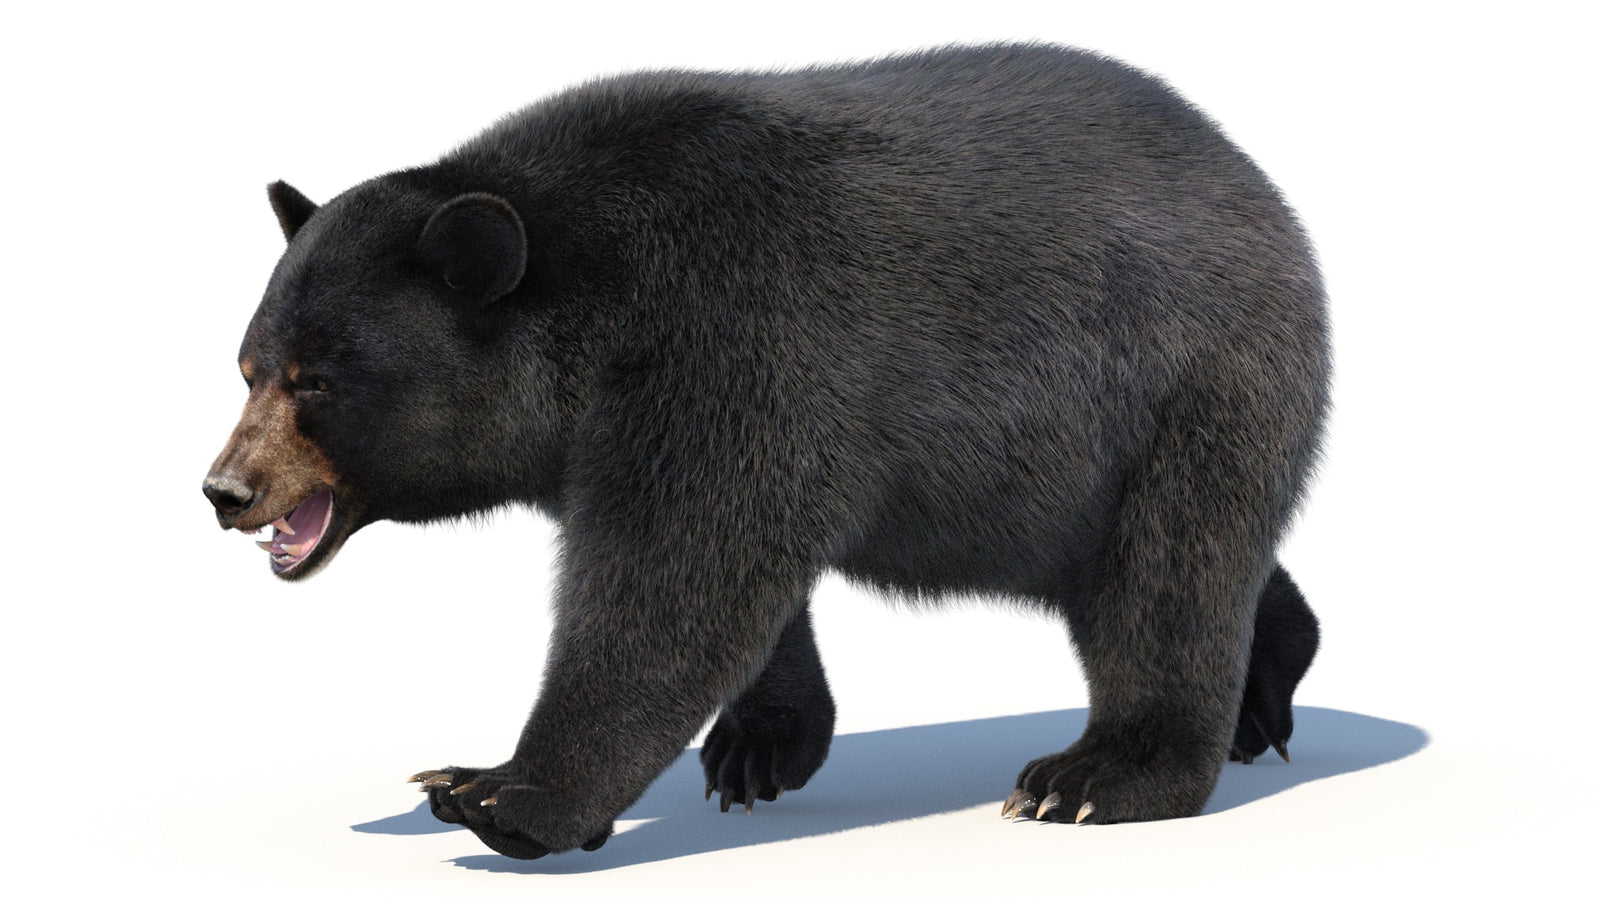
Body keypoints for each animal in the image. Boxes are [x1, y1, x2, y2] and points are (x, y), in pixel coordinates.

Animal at [203, 43, 1327, 860]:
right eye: (248, 366)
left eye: (316, 380)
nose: (225, 490)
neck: (588, 306)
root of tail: (1261, 188)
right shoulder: (616, 425)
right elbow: (732, 574)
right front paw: (759, 747)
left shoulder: (733, 333)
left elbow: (679, 575)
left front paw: (497, 791)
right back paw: (1263, 692)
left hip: (1183, 387)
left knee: (1168, 573)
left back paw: (1097, 778)